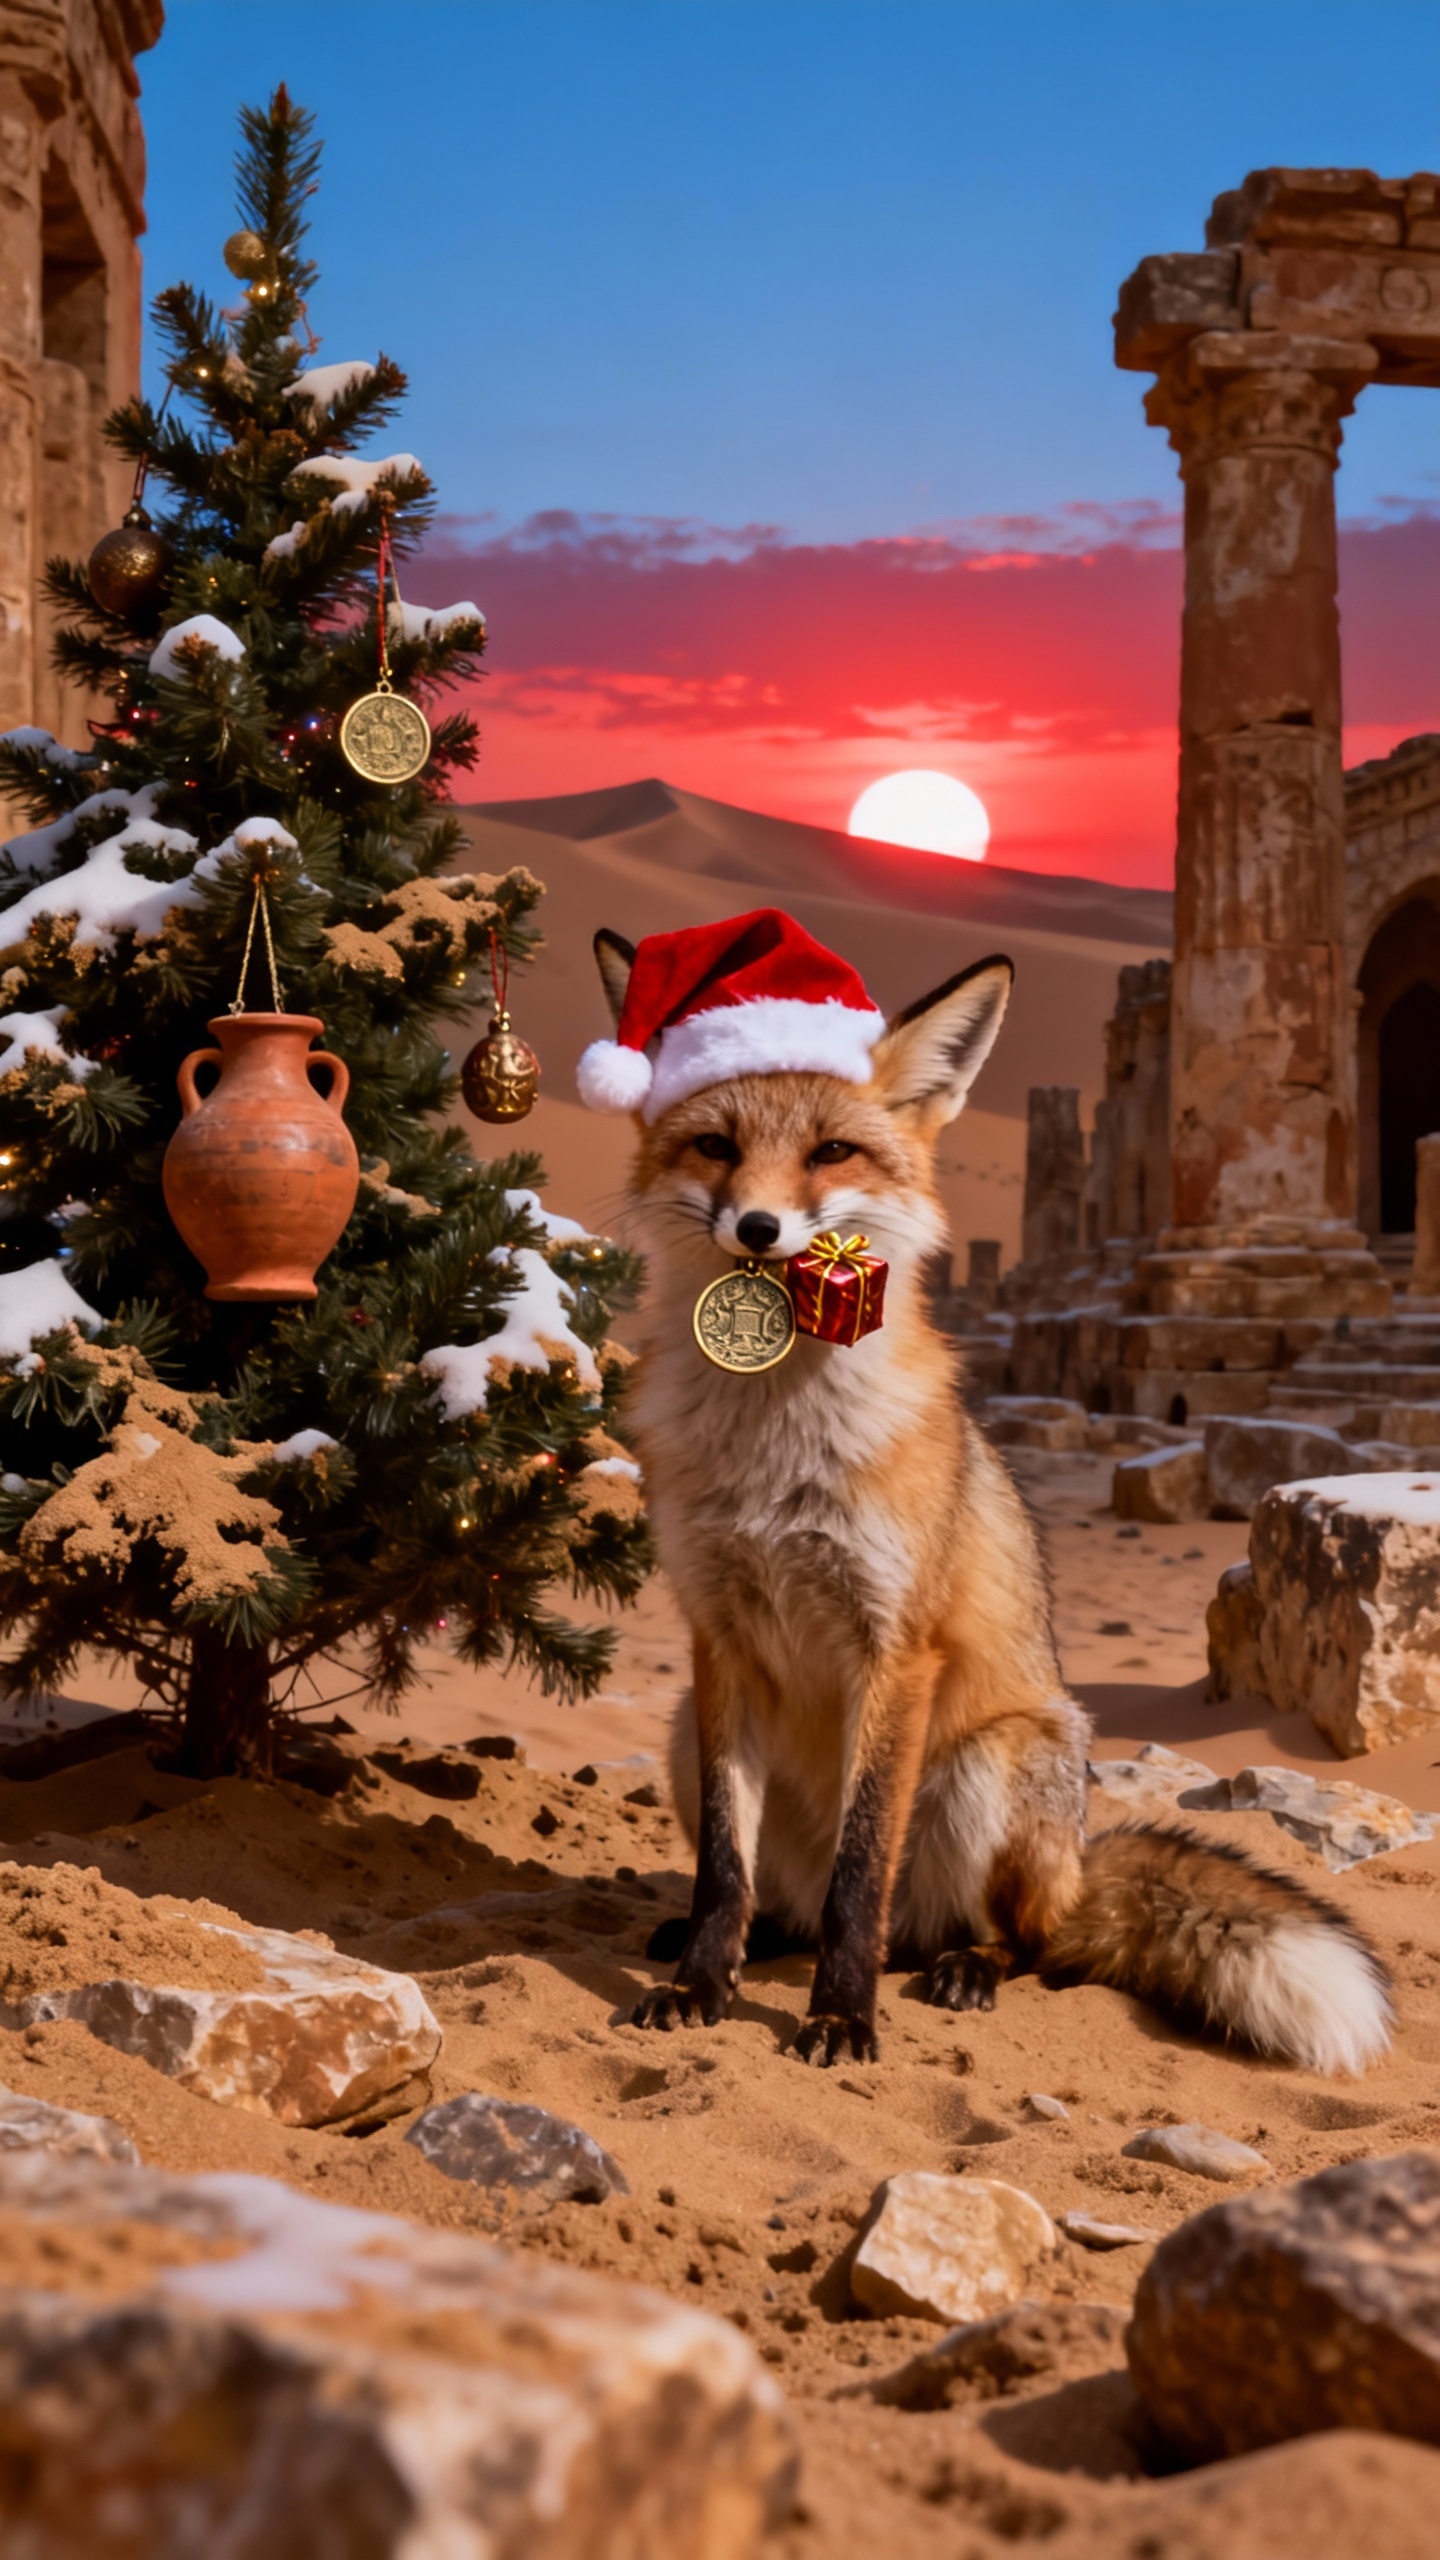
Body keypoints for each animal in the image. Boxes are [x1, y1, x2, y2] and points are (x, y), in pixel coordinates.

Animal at [590, 923, 1393, 2078]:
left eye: (832, 1152)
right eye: (714, 1145)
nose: (757, 1227)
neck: (775, 1443)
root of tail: (1078, 1865)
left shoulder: (895, 1646)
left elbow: (861, 1874)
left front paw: (843, 2019)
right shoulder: (718, 1636)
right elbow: (721, 1875)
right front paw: (701, 1983)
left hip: (993, 1765)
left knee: (1012, 1939)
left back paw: (962, 1964)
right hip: (686, 1733)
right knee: (786, 1901)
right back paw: (759, 1943)